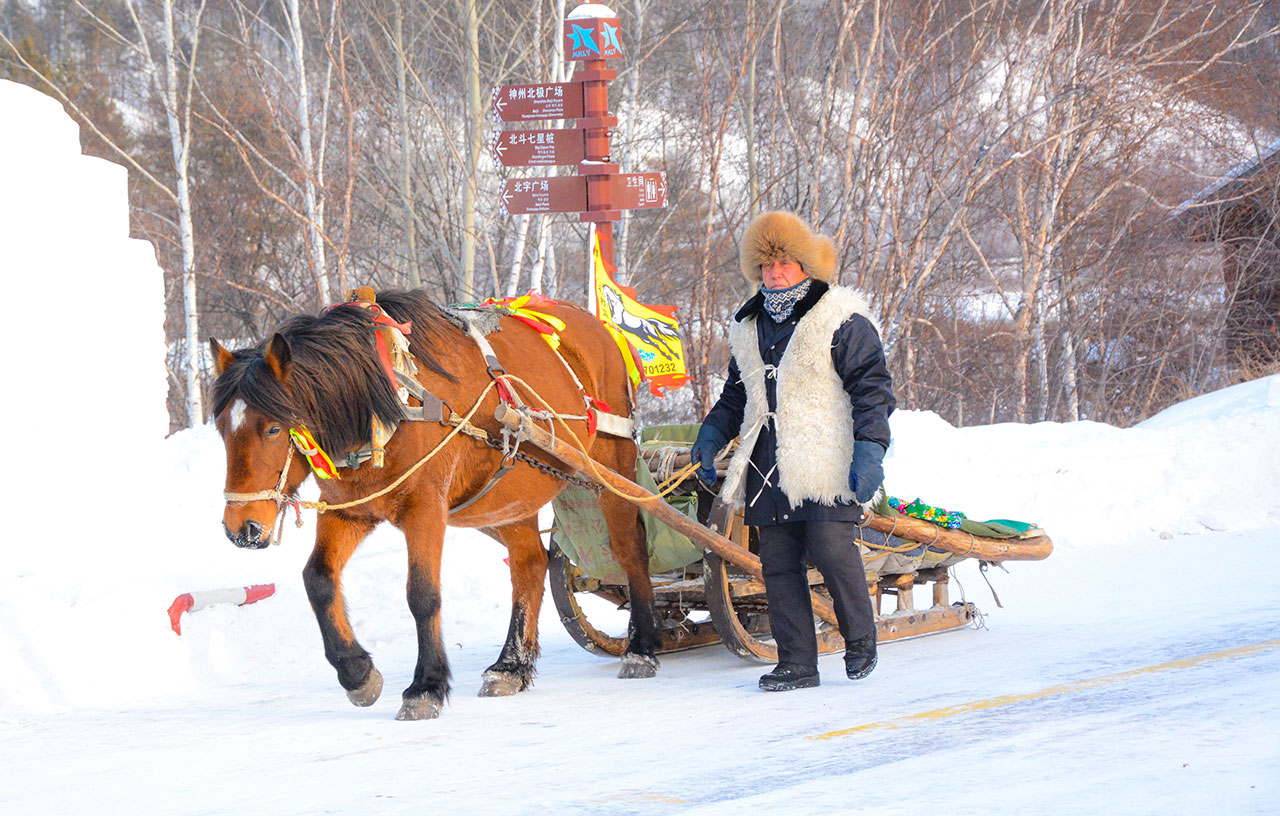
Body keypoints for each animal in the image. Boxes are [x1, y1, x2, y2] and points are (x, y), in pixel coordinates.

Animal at [209, 289, 660, 721]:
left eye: (272, 428)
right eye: (222, 429)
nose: (242, 529)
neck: (387, 405)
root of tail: (596, 325)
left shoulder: (425, 507)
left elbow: (422, 594)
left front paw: (425, 686)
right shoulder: (349, 510)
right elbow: (318, 579)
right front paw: (356, 672)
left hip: (611, 463)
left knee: (630, 547)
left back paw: (642, 646)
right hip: (512, 494)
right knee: (530, 564)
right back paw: (510, 666)